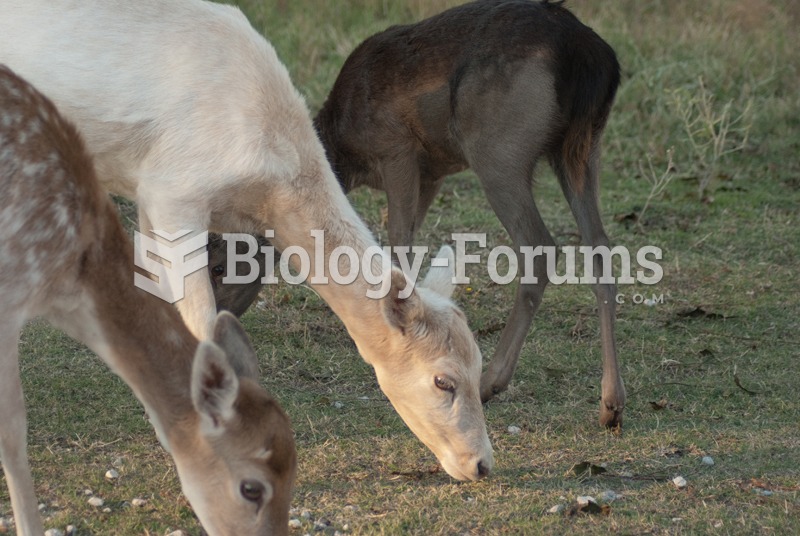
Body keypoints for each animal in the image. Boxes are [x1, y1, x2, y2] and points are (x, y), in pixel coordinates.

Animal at [0, 0, 494, 484]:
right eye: (444, 381)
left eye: (479, 368)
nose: (482, 463)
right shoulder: (172, 193)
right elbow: (200, 321)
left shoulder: (148, 203)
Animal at [312, 0, 624, 428]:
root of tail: (590, 56)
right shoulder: (433, 172)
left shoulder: (397, 149)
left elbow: (399, 244)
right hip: (583, 147)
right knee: (600, 246)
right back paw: (611, 403)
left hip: (497, 149)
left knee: (540, 246)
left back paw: (491, 381)